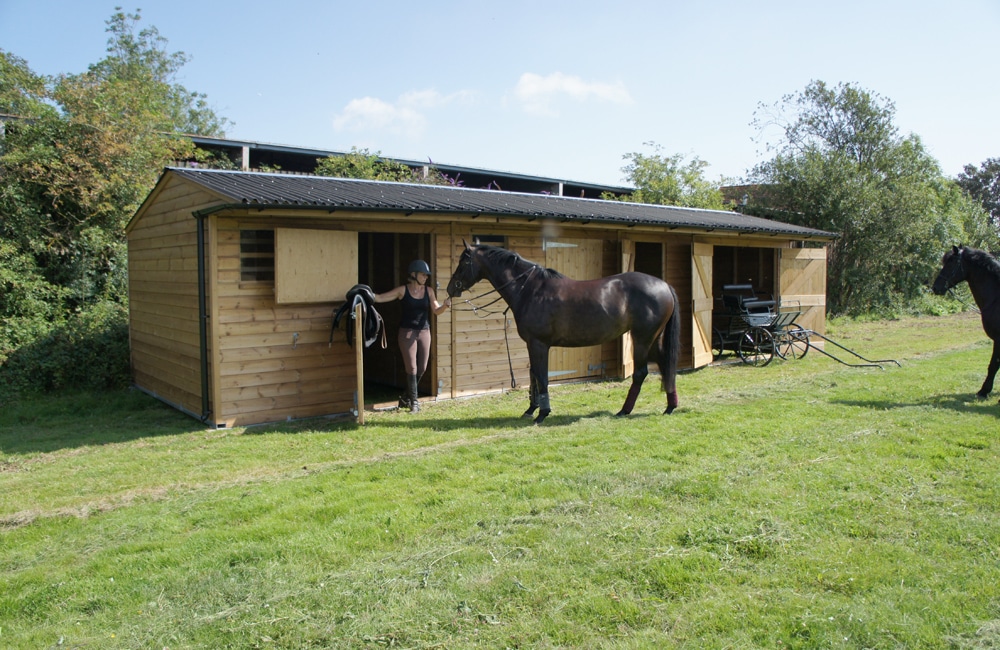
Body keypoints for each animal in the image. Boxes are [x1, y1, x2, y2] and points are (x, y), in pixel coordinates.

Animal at [444, 240, 680, 422]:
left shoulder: (539, 344)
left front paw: (542, 413)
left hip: (642, 339)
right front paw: (531, 410)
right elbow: (533, 376)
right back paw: (669, 407)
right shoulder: (532, 344)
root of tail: (664, 286)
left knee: (640, 373)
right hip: (653, 339)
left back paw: (624, 410)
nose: (451, 288)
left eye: (464, 261)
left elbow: (541, 377)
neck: (530, 289)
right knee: (665, 366)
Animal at [928, 243, 1000, 398]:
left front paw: (984, 391)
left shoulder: (998, 339)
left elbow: (993, 365)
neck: (996, 298)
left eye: (950, 263)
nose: (936, 287)